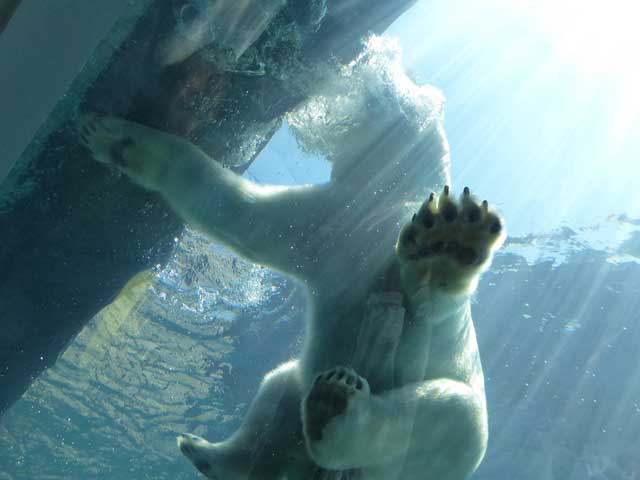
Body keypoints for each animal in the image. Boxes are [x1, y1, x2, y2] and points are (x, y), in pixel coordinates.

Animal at [76, 59, 504, 476]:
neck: (384, 201)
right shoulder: (325, 224)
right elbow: (237, 212)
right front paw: (115, 138)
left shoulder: (379, 229)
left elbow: (430, 299)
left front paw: (451, 241)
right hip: (292, 402)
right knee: (277, 391)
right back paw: (209, 451)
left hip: (445, 450)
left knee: (449, 416)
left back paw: (338, 412)